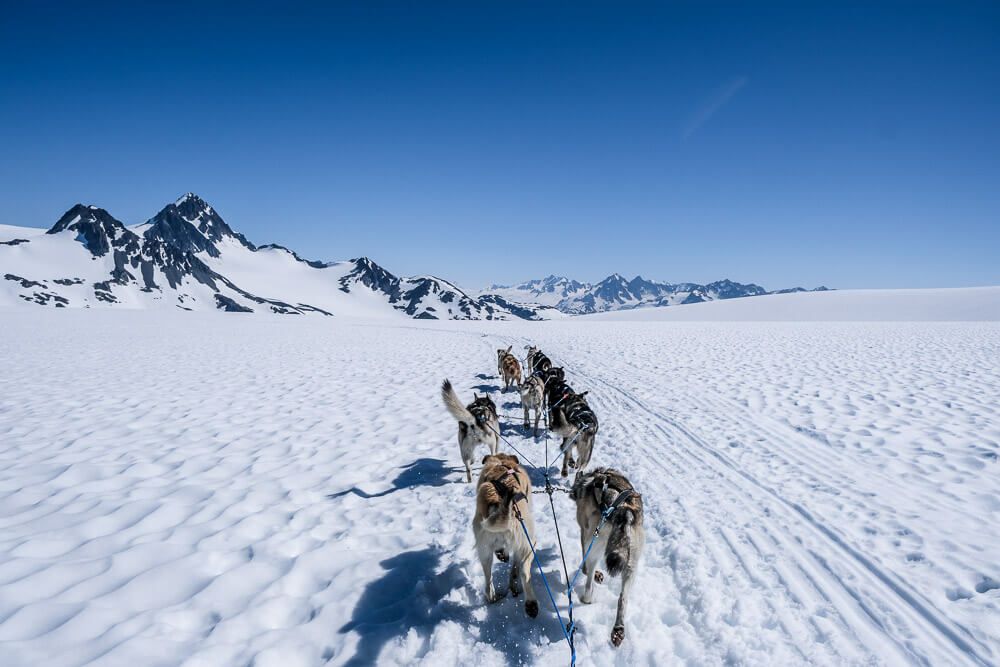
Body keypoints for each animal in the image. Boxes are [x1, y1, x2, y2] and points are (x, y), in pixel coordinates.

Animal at [474, 452, 540, 620]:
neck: (502, 462)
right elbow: (515, 567)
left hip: (484, 551)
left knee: (488, 580)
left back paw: (493, 596)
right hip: (529, 544)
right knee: (523, 571)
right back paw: (530, 603)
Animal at [572, 470, 648, 648]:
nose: (571, 494)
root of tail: (623, 510)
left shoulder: (584, 533)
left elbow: (584, 559)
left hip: (596, 541)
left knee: (589, 579)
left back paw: (587, 597)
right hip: (631, 563)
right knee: (623, 598)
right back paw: (618, 629)